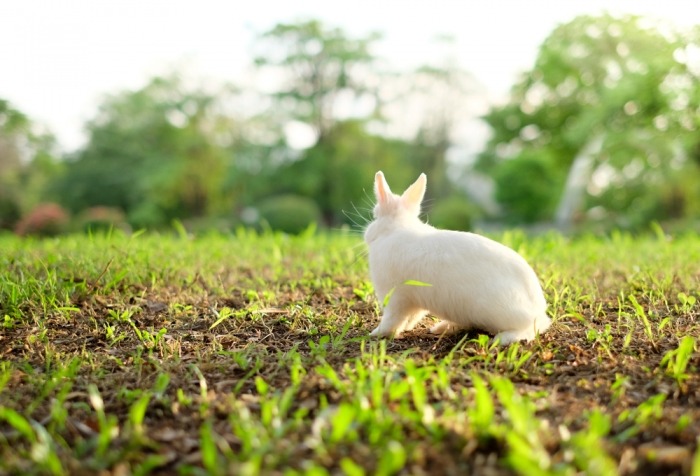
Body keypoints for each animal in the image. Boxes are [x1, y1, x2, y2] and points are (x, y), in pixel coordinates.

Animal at [364, 173, 548, 344]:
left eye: (375, 216)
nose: (367, 234)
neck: (396, 229)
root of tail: (538, 309)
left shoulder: (395, 297)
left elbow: (392, 319)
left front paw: (376, 334)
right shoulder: (414, 301)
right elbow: (411, 317)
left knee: (528, 328)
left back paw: (502, 339)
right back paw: (442, 327)